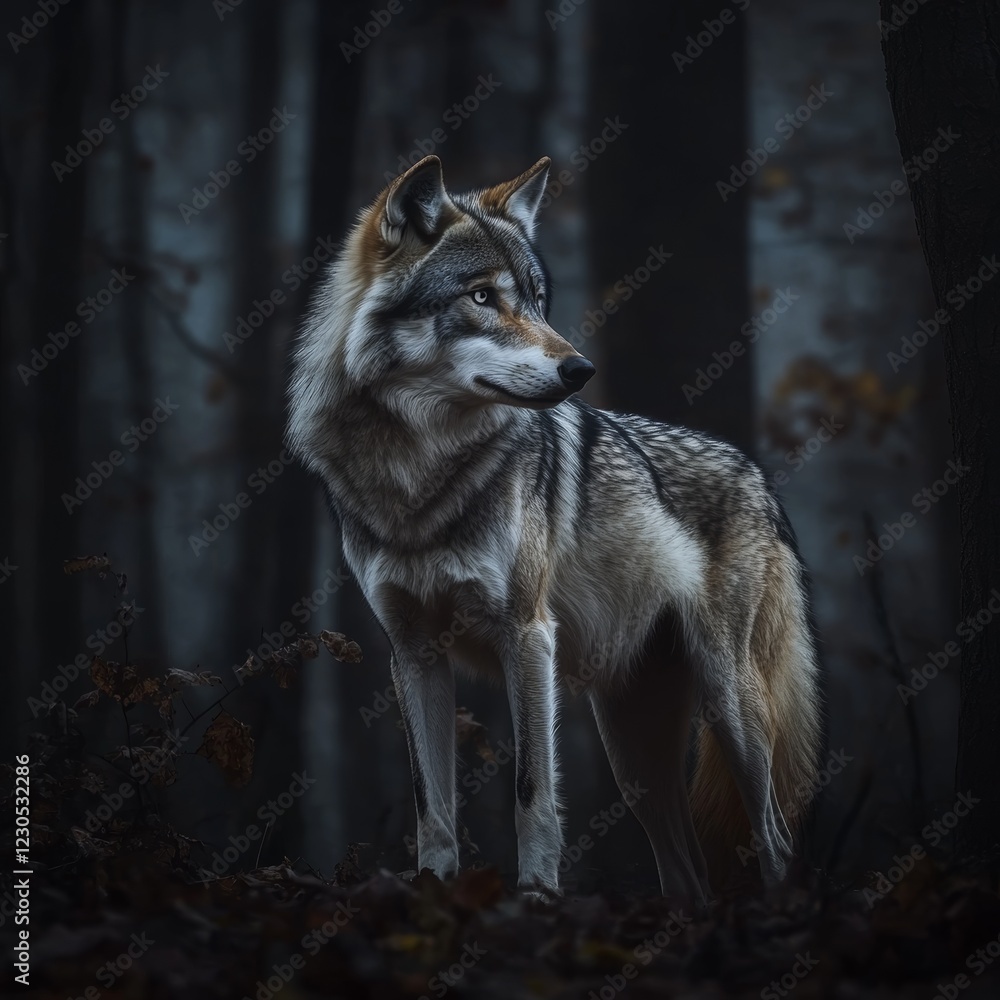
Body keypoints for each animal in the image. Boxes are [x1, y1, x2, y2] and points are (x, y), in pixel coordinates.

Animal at [287, 155, 822, 904]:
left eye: (539, 301)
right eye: (483, 297)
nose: (580, 369)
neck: (417, 471)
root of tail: (759, 476)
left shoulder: (527, 635)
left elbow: (531, 791)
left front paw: (536, 897)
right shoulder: (413, 652)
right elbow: (432, 806)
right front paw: (433, 891)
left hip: (731, 706)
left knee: (774, 838)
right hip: (635, 759)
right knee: (688, 873)